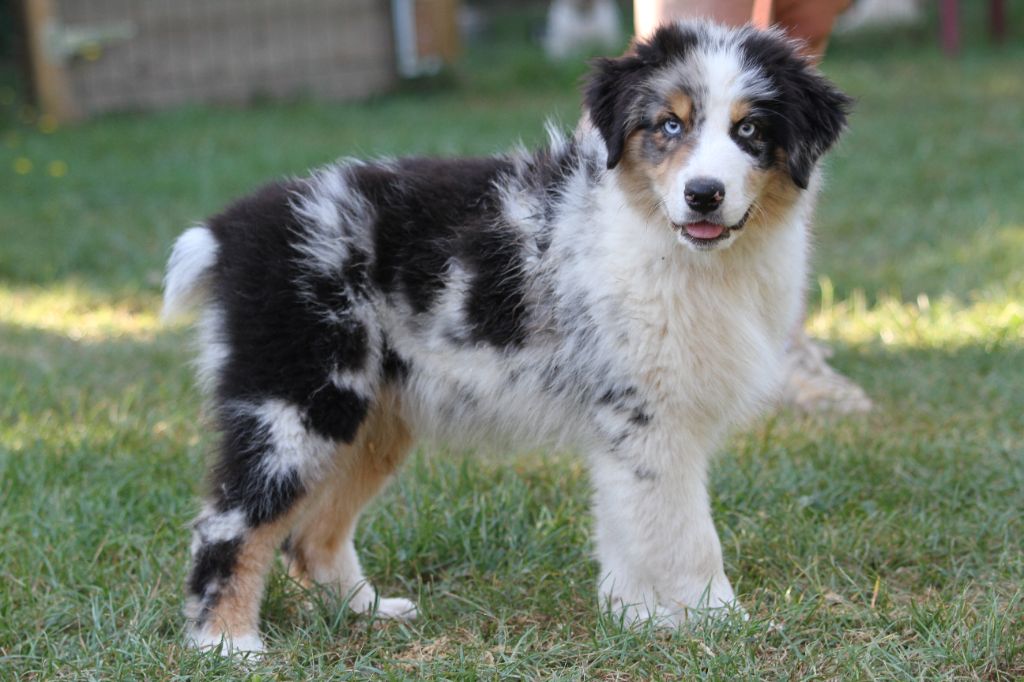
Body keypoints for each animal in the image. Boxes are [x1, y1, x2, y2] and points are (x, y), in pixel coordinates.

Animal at [163, 18, 851, 651]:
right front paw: (719, 620)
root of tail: (231, 230)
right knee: (230, 523)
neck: (673, 246)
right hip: (295, 398)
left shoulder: (629, 428)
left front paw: (635, 618)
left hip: (371, 418)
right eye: (670, 126)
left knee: (310, 534)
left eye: (750, 131)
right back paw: (228, 643)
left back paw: (367, 611)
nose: (703, 195)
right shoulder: (646, 417)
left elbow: (631, 527)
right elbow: (685, 535)